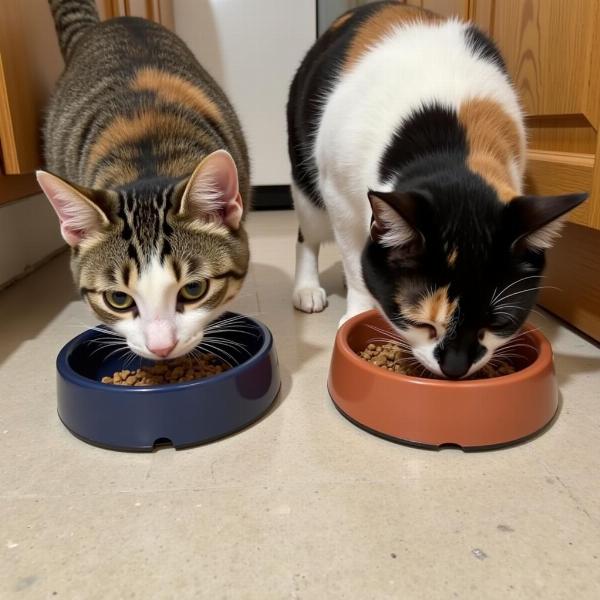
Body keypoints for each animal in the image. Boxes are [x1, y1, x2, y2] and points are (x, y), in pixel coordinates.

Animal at [288, 2, 588, 380]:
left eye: (496, 324)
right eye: (422, 324)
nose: (455, 369)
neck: (452, 144)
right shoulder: (339, 195)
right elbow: (355, 263)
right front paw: (358, 310)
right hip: (308, 179)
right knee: (308, 234)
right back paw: (307, 289)